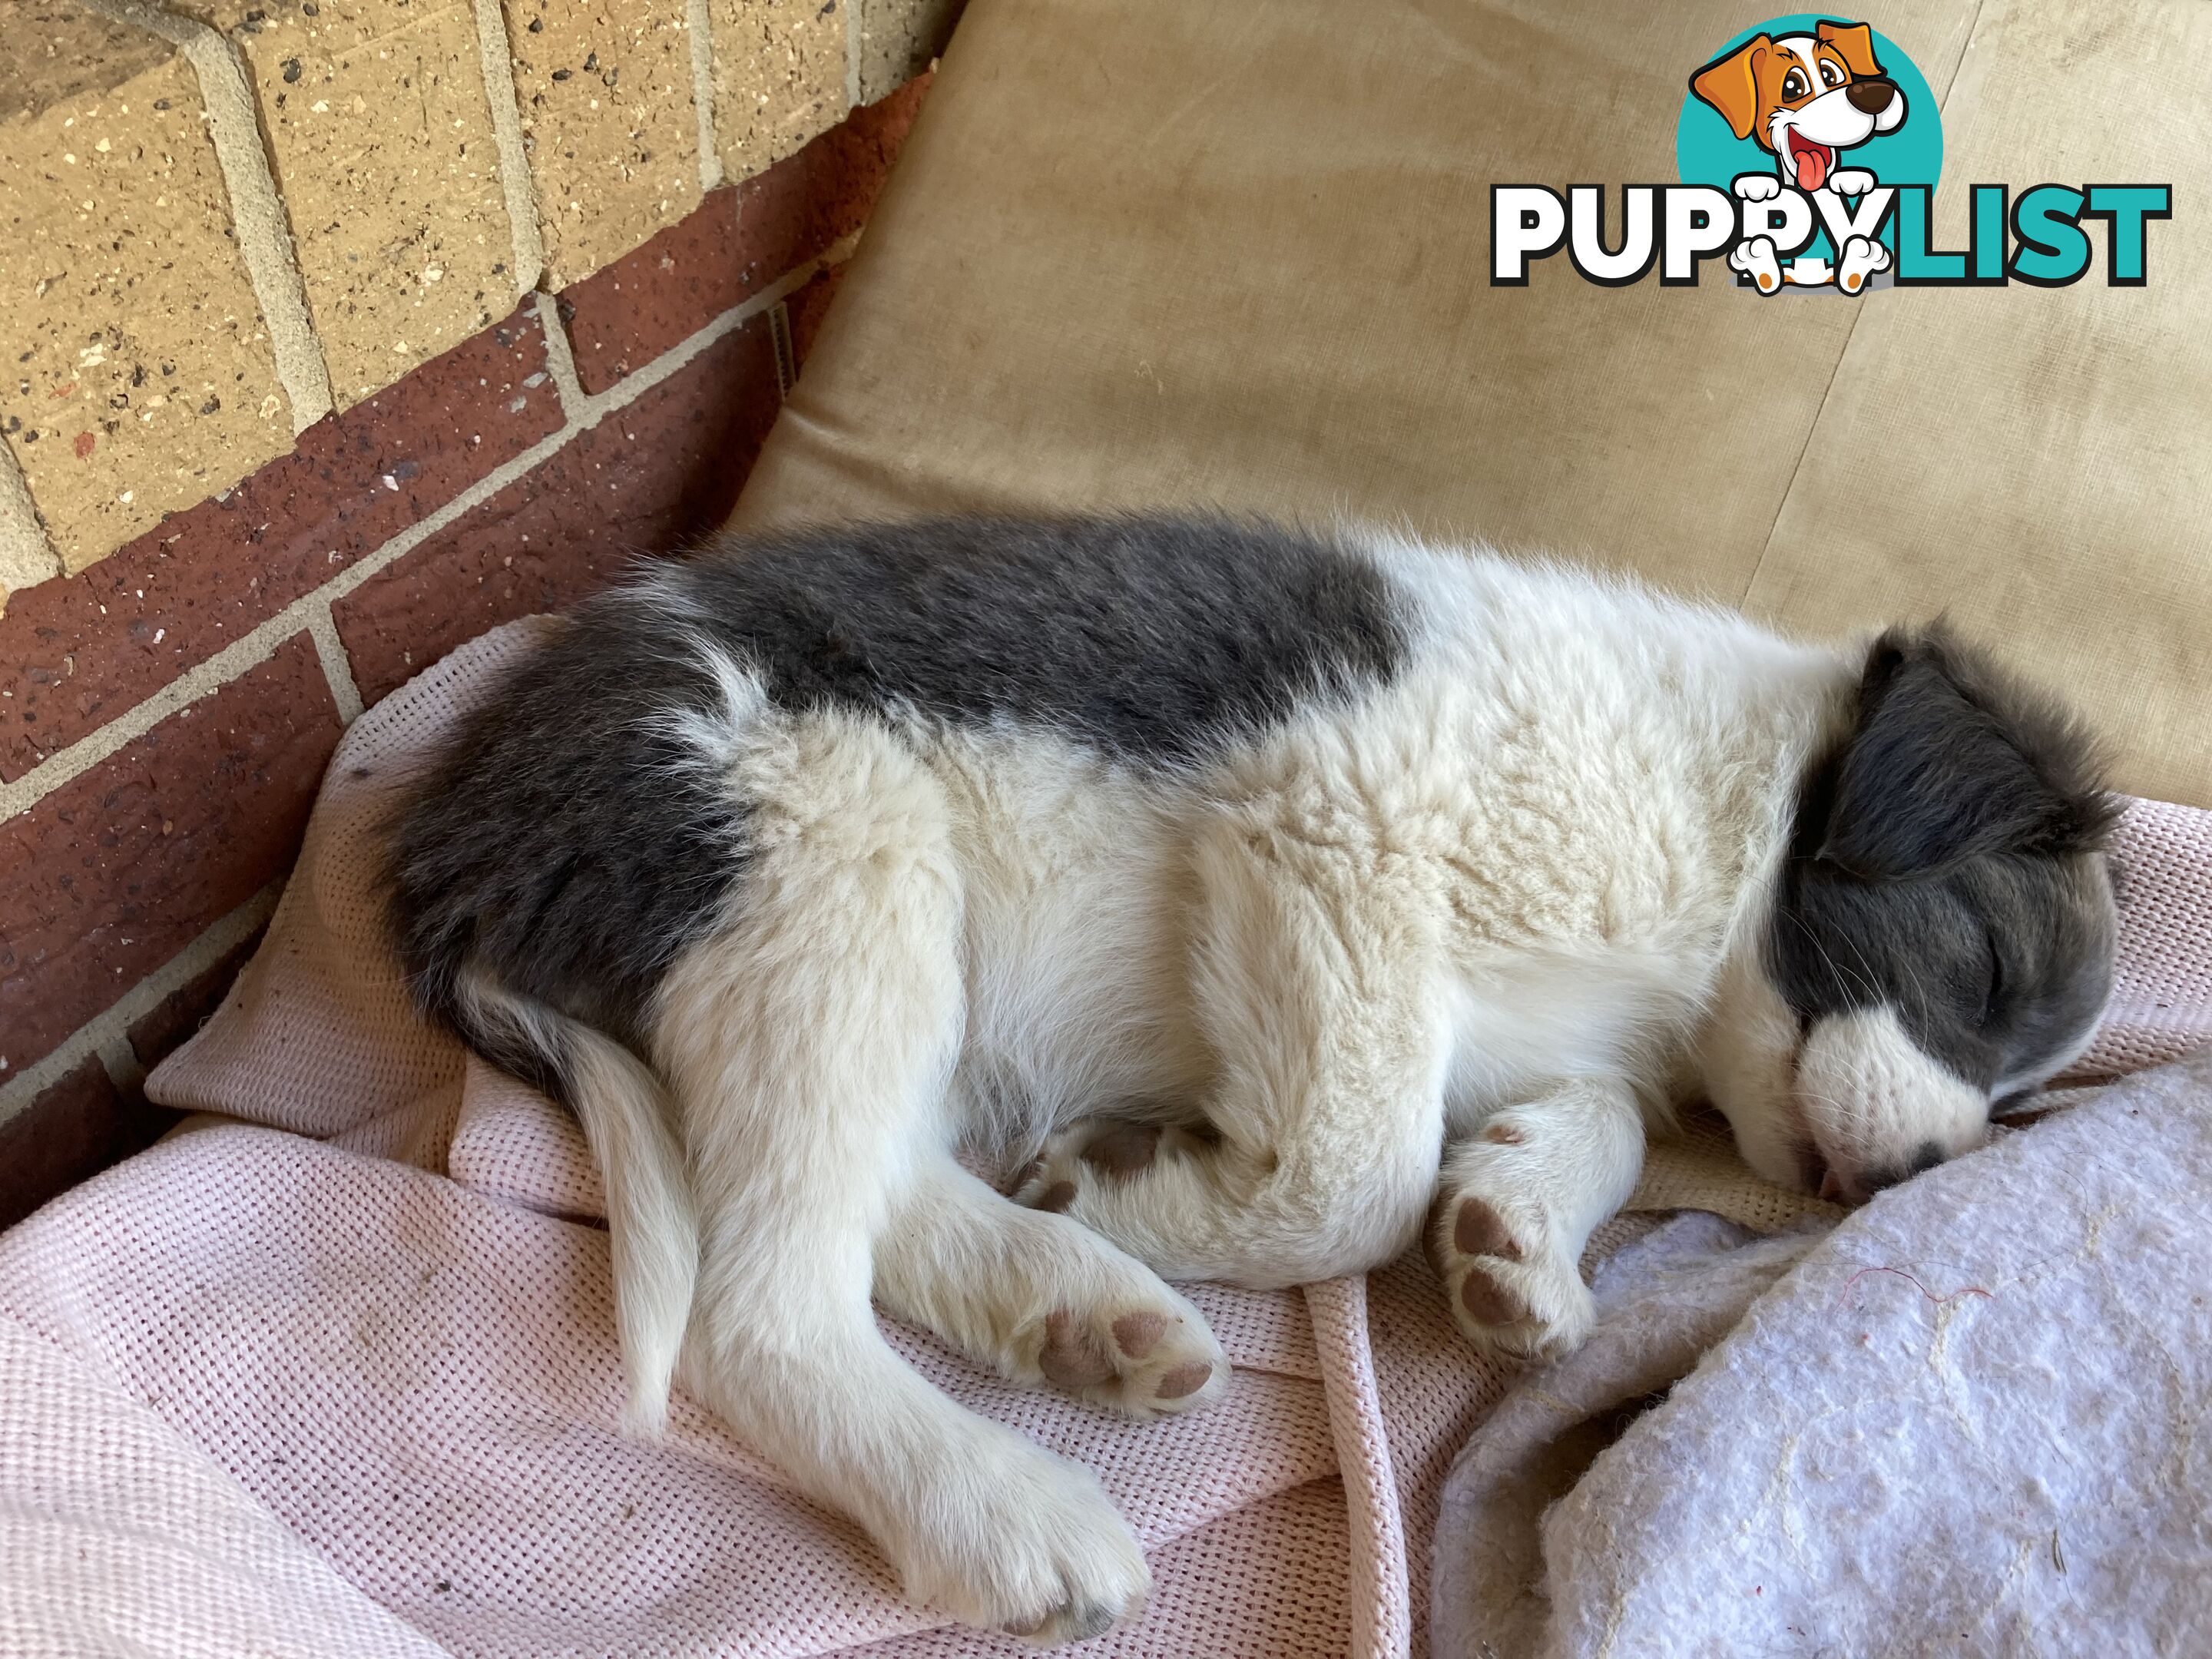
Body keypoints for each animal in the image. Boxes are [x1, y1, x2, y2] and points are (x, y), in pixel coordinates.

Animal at [389, 519, 2114, 1654]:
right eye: (1986, 971)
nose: (1921, 1176)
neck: (1707, 818)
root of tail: (462, 833)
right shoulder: (1326, 832)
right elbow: (1363, 1176)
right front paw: (1174, 1198)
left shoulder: (1524, 1013)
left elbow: (1592, 1122)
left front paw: (1515, 1238)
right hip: (832, 862)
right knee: (759, 1307)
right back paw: (1003, 1503)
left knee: (868, 1195)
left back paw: (1074, 1298)